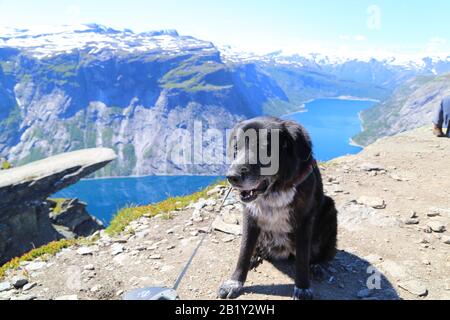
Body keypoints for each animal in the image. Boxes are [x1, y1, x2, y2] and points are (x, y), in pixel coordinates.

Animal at [218, 117, 338, 300]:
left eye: (263, 149)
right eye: (236, 148)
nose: (231, 177)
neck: (276, 188)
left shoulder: (304, 221)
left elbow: (302, 259)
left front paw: (303, 288)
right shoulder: (250, 217)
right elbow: (244, 251)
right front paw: (235, 282)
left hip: (330, 210)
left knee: (325, 252)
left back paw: (318, 265)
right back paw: (255, 256)